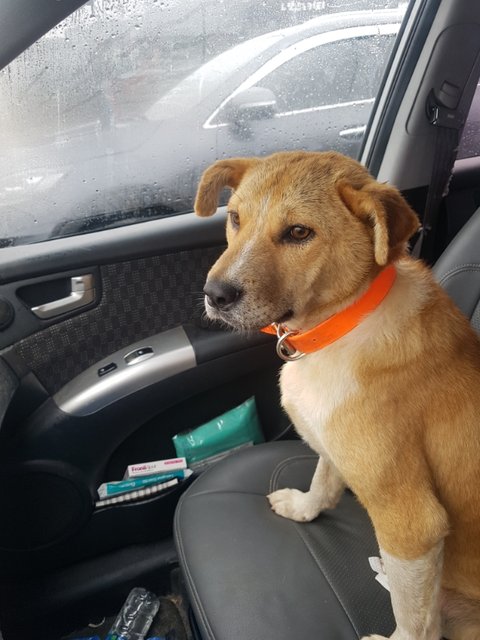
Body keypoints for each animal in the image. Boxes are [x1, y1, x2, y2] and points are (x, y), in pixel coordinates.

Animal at [194, 150, 480, 640]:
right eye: (234, 218)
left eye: (299, 233)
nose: (216, 295)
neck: (343, 323)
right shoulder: (332, 441)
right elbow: (323, 484)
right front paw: (302, 508)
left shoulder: (413, 524)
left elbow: (413, 620)